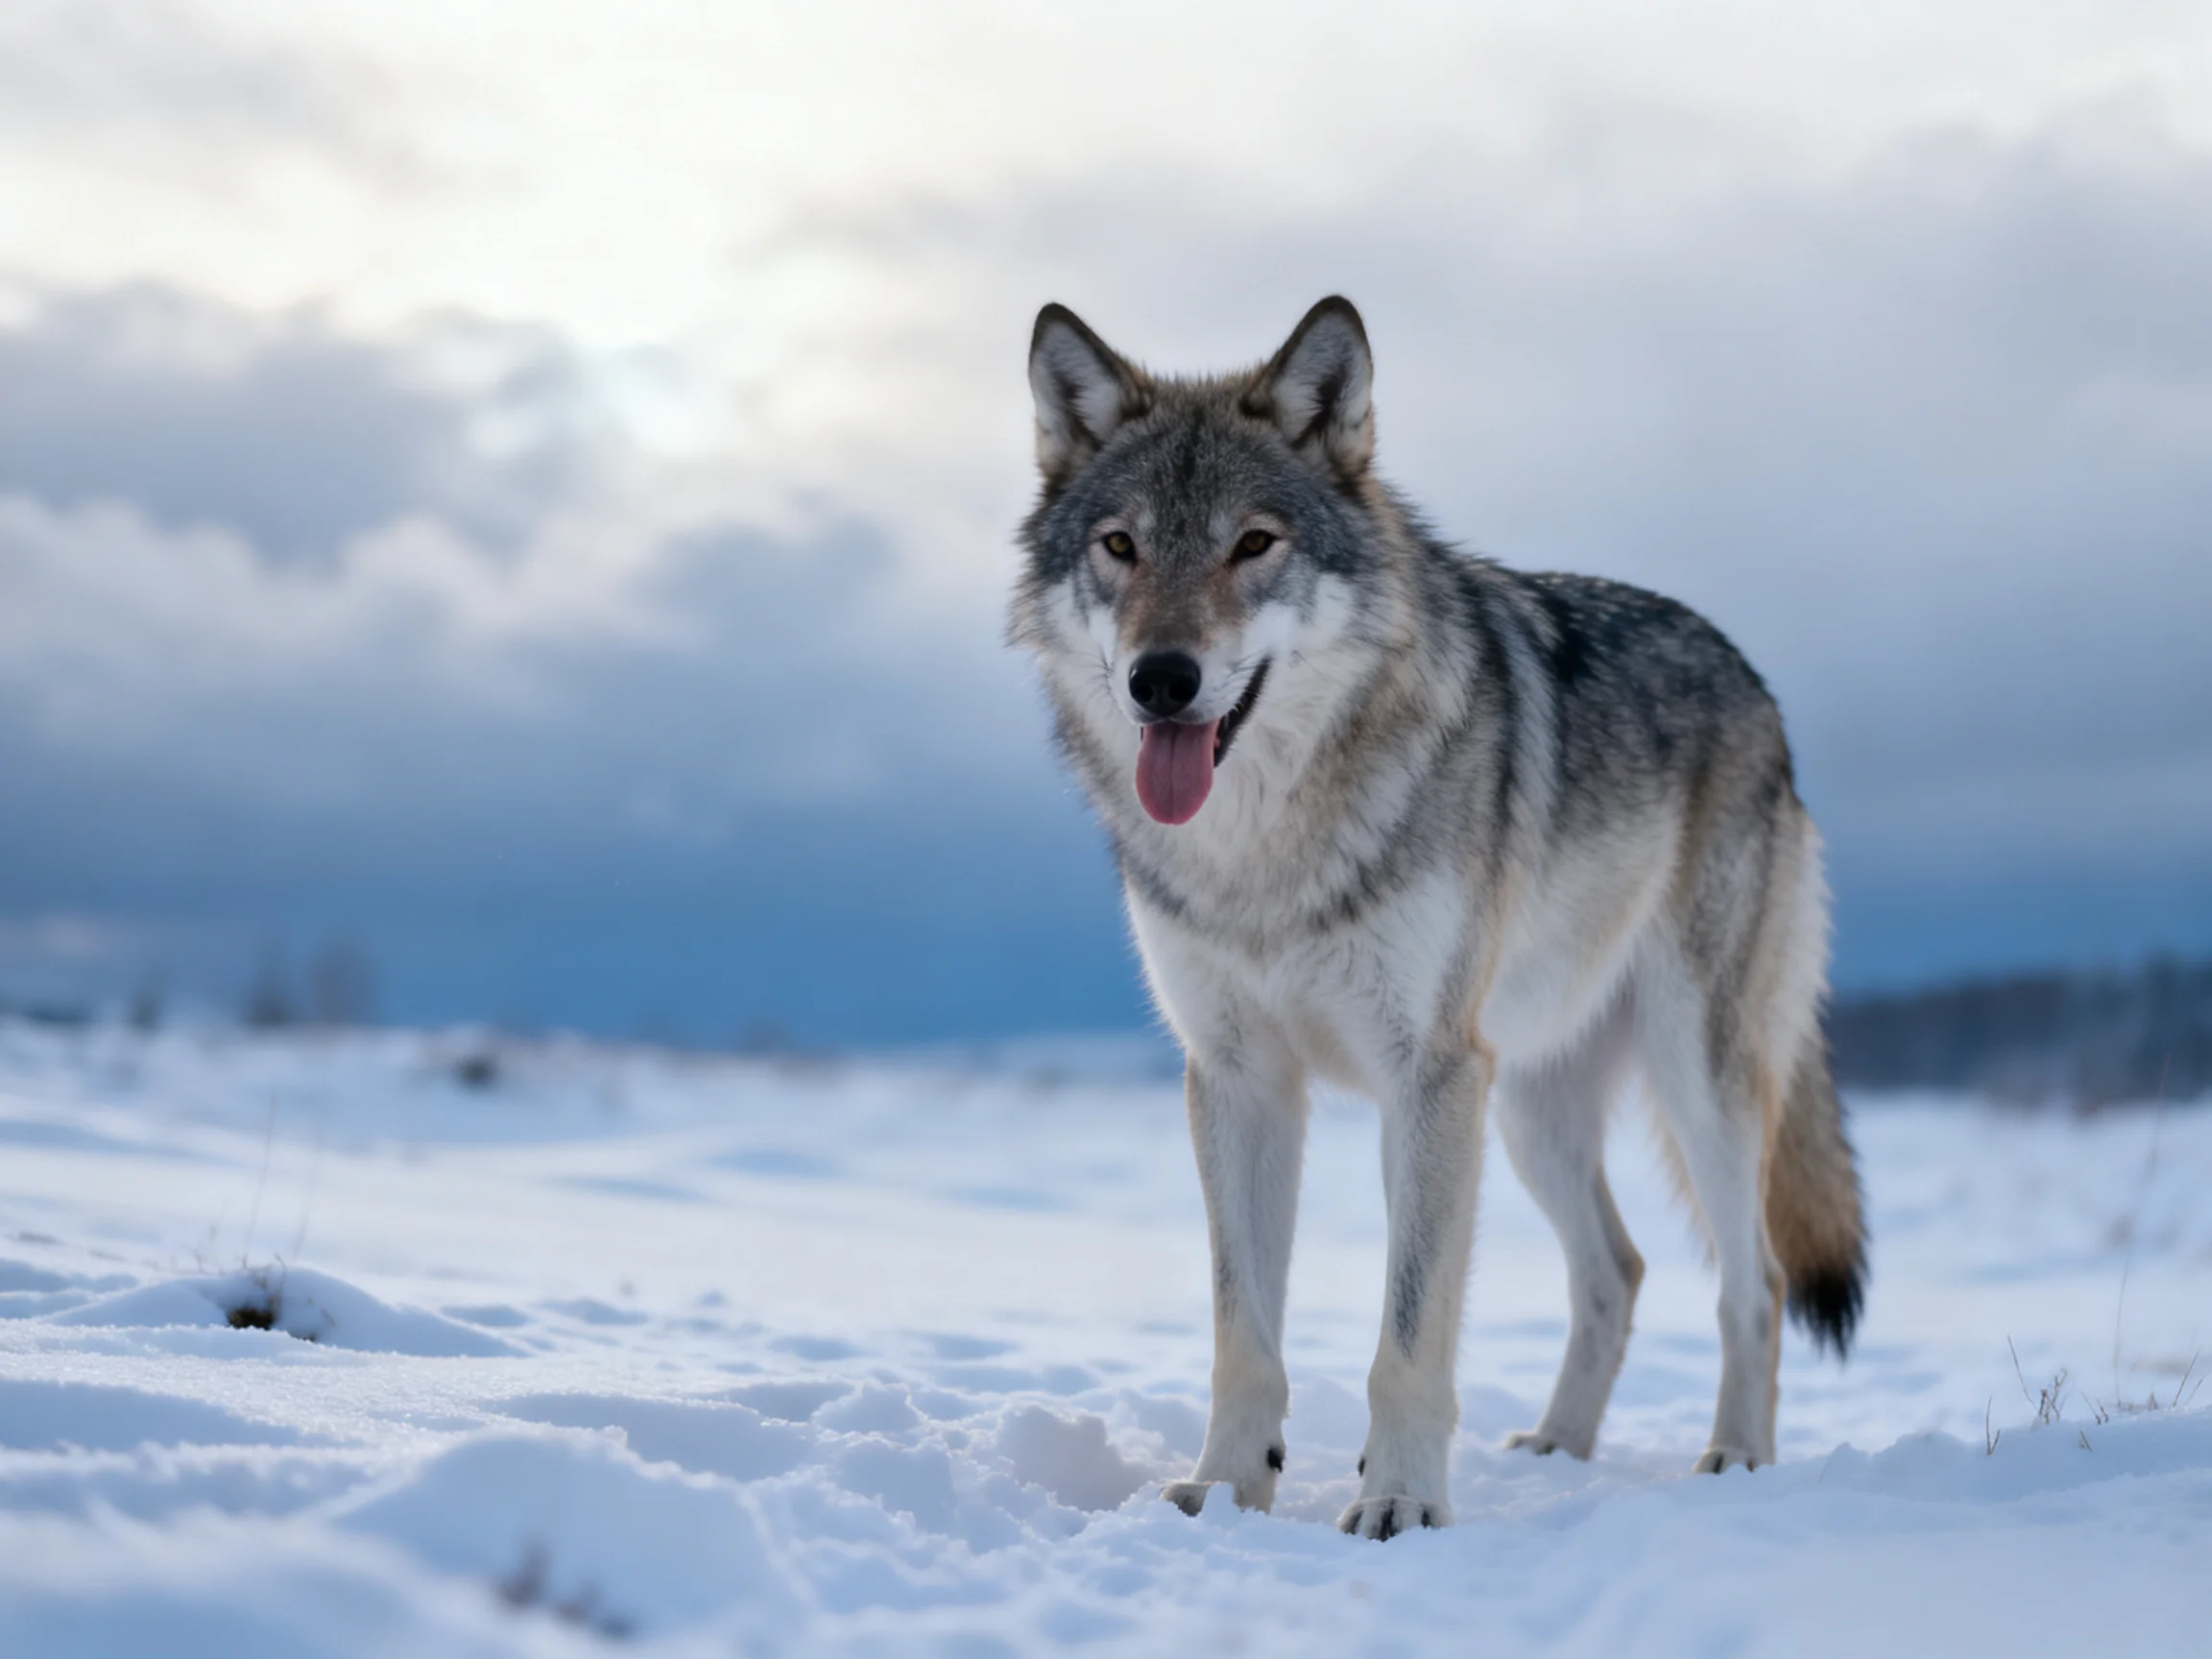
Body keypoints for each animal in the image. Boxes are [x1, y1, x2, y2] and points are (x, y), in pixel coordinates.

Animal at [1009, 296, 1865, 1539]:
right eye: (1120, 547)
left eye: (1252, 544)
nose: (1161, 680)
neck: (1267, 857)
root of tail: (1758, 686)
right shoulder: (1238, 1079)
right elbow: (1241, 1332)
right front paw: (1226, 1489)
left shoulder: (1424, 1076)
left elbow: (1408, 1336)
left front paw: (1402, 1503)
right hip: (1524, 1111)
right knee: (1618, 1271)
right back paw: (1558, 1451)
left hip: (1683, 1080)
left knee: (1753, 1281)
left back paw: (1736, 1460)